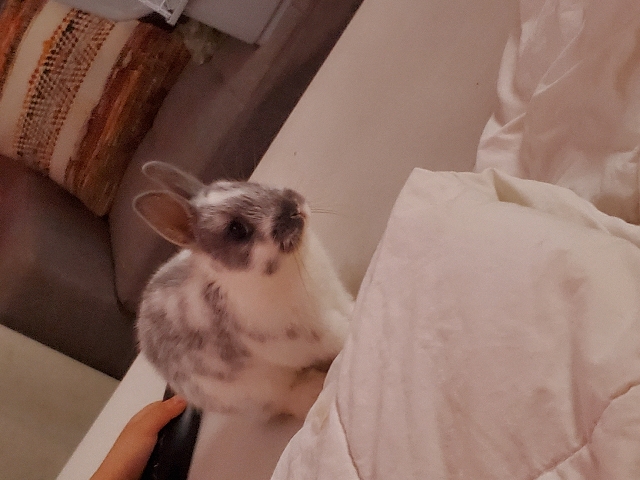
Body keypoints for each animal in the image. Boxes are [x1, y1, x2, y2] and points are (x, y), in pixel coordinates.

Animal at [133, 161, 354, 420]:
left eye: (243, 183)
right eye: (236, 229)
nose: (293, 207)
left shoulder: (335, 298)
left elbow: (349, 310)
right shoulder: (309, 336)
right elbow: (340, 336)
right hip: (259, 394)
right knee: (286, 399)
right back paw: (314, 389)